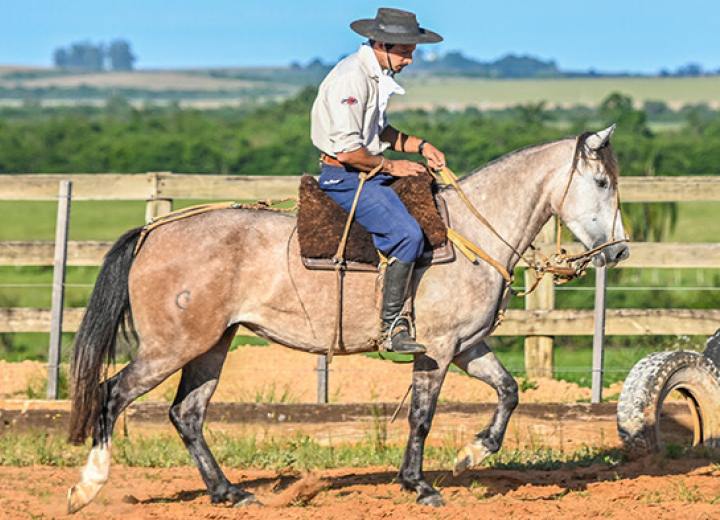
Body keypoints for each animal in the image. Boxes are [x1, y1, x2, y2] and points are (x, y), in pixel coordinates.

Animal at [67, 127, 632, 512]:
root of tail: (153, 232)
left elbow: (509, 391)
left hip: (212, 345)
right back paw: (88, 486)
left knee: (187, 414)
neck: (472, 233)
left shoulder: (468, 346)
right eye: (602, 181)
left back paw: (230, 492)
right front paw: (419, 485)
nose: (621, 250)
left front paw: (474, 453)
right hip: (171, 347)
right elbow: (422, 417)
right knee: (112, 393)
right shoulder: (435, 350)